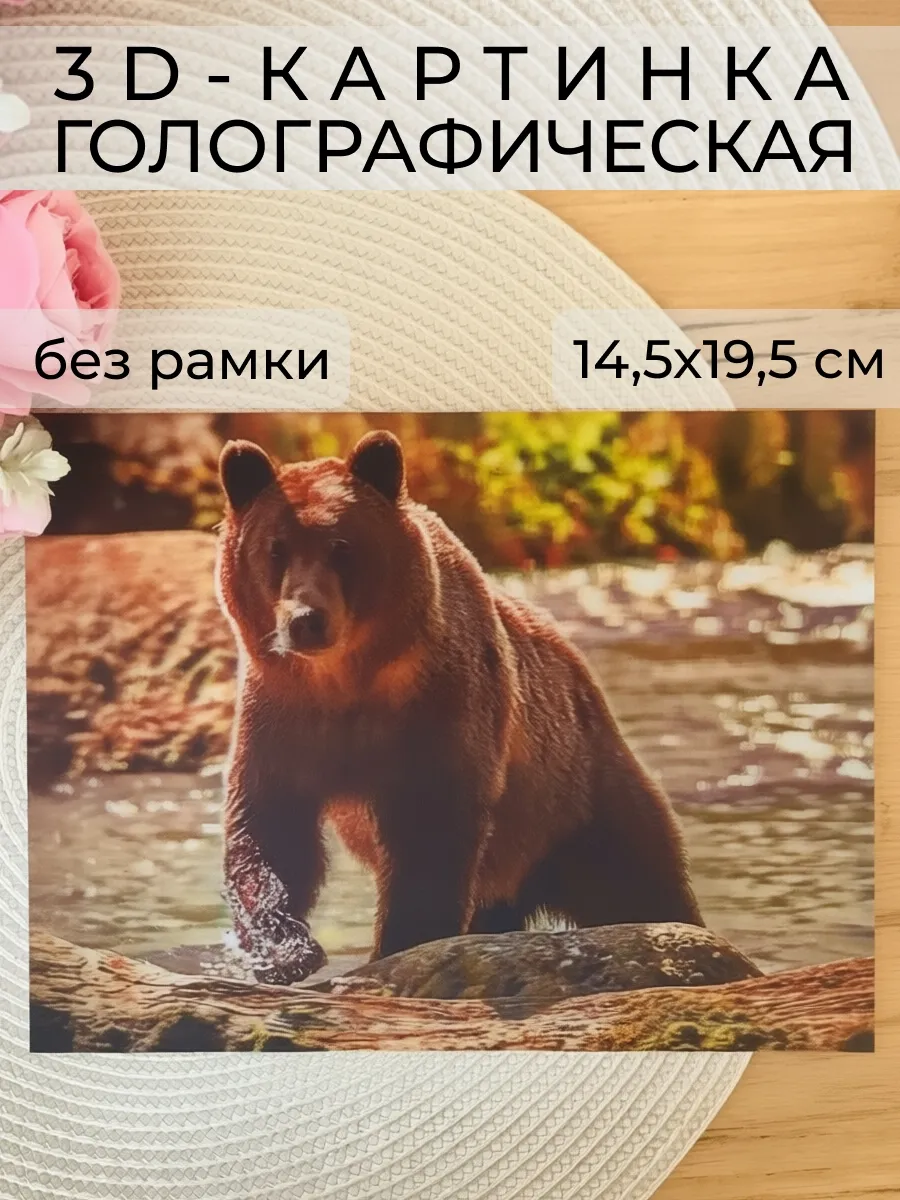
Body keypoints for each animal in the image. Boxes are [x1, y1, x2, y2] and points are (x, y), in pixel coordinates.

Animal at [216, 430, 704, 984]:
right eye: (275, 548)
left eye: (341, 546)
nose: (306, 619)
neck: (346, 680)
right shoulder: (282, 715)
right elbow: (272, 831)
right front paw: (286, 949)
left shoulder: (440, 706)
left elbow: (430, 833)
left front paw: (399, 943)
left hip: (575, 798)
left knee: (639, 879)